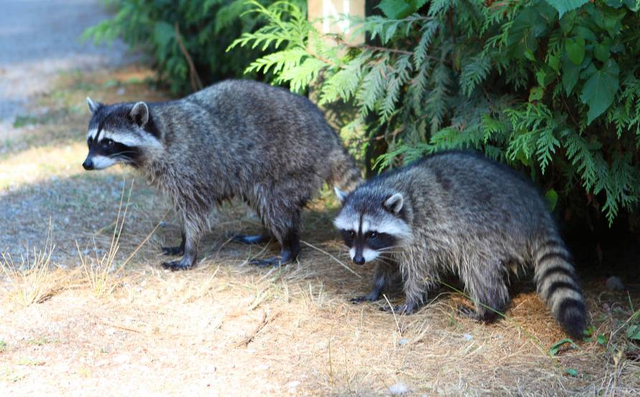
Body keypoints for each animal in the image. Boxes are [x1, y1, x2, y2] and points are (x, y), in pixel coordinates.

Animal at [82, 78, 360, 270]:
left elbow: (196, 213)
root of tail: (329, 137)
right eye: (90, 141)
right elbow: (183, 211)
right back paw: (267, 234)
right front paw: (183, 241)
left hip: (292, 162)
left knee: (275, 204)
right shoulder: (173, 177)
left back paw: (288, 249)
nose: (86, 164)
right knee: (261, 200)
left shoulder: (190, 168)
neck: (162, 135)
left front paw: (190, 251)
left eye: (108, 143)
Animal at [336, 150, 592, 336]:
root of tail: (537, 211)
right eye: (351, 233)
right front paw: (375, 289)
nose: (358, 260)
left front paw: (411, 299)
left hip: (493, 229)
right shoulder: (390, 245)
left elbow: (421, 272)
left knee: (477, 267)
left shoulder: (424, 236)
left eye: (372, 234)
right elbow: (386, 264)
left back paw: (488, 308)